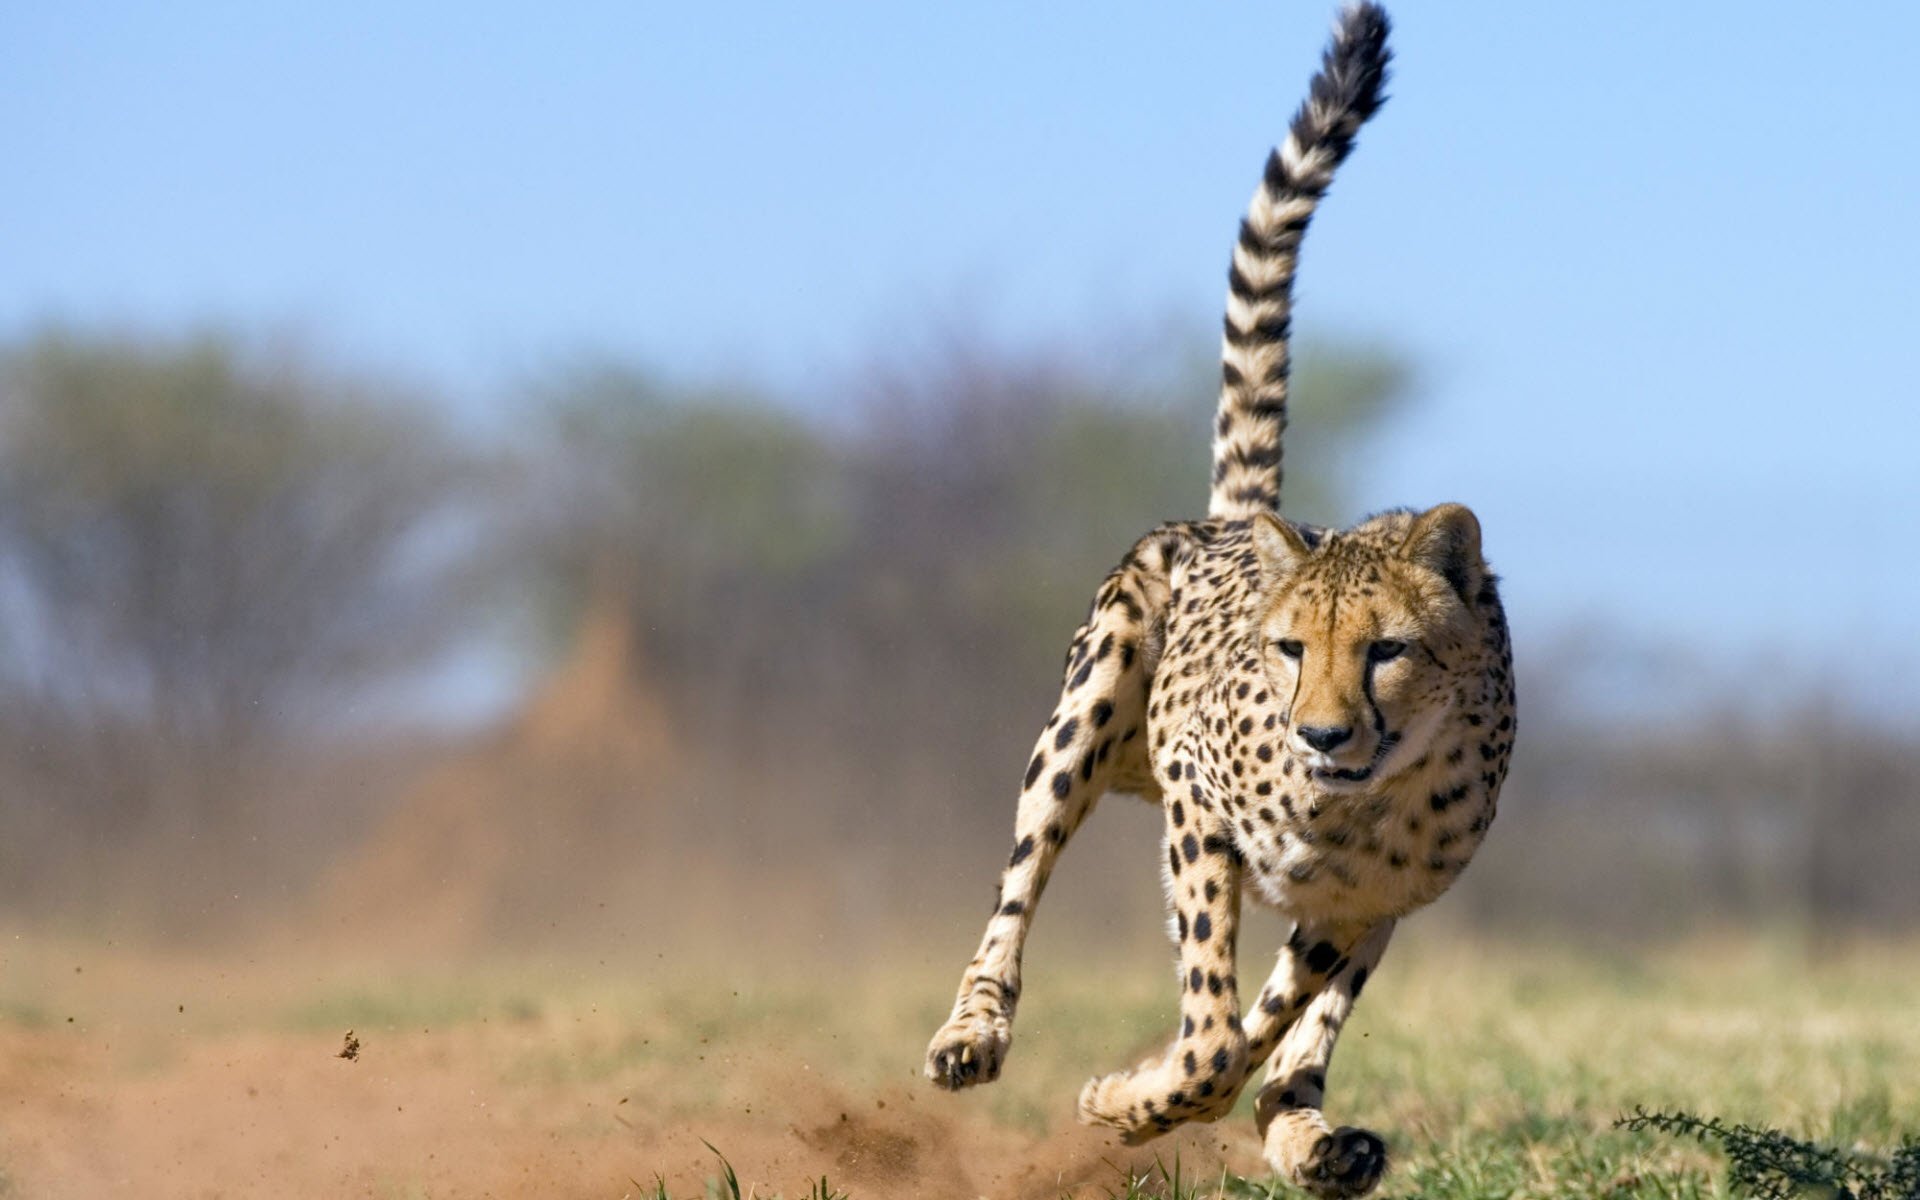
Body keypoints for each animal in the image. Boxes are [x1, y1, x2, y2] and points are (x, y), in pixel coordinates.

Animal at [920, 5, 1515, 1195]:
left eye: (1387, 650)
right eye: (1290, 650)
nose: (1322, 733)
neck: (1363, 796)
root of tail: (1241, 520)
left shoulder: (1363, 901)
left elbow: (1260, 1027)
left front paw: (1154, 1101)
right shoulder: (1198, 809)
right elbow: (1209, 1035)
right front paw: (1127, 1101)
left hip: (1370, 913)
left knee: (1293, 1036)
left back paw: (1314, 1135)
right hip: (1089, 708)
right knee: (1020, 887)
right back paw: (975, 1032)